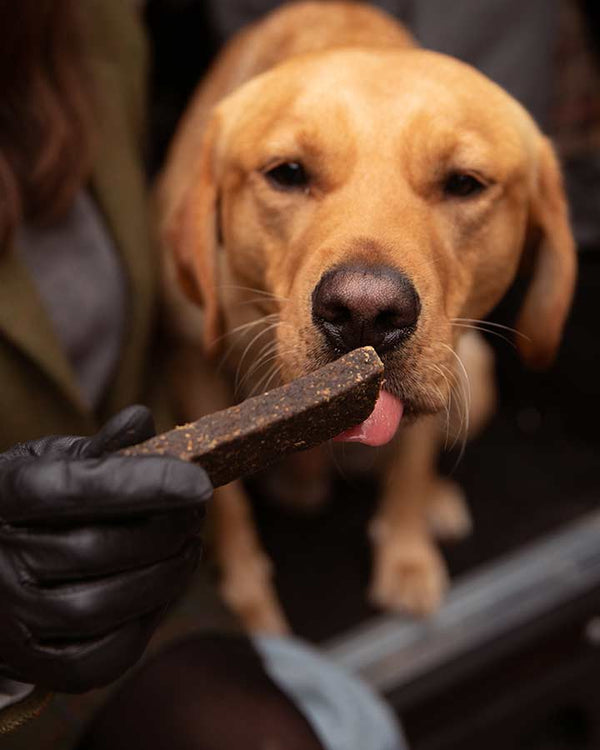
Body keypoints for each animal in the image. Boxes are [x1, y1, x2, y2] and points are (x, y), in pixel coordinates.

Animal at [158, 0, 576, 636]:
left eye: (464, 183)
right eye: (287, 173)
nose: (364, 312)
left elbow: (409, 467)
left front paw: (406, 557)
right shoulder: (189, 368)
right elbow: (227, 507)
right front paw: (250, 606)